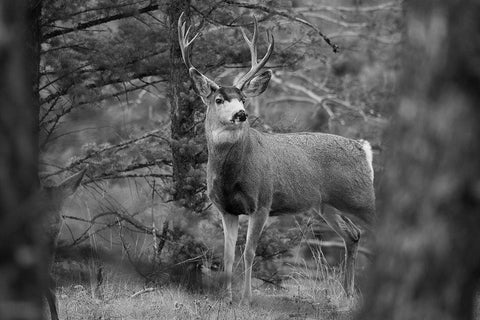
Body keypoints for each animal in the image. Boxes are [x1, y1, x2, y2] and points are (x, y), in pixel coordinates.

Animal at [177, 13, 376, 304]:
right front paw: (226, 298)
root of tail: (363, 148)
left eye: (243, 99)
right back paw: (347, 293)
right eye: (219, 99)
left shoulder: (262, 201)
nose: (241, 114)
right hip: (326, 204)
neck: (231, 176)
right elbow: (227, 254)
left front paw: (246, 299)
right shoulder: (225, 208)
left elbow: (249, 252)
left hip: (362, 198)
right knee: (353, 234)